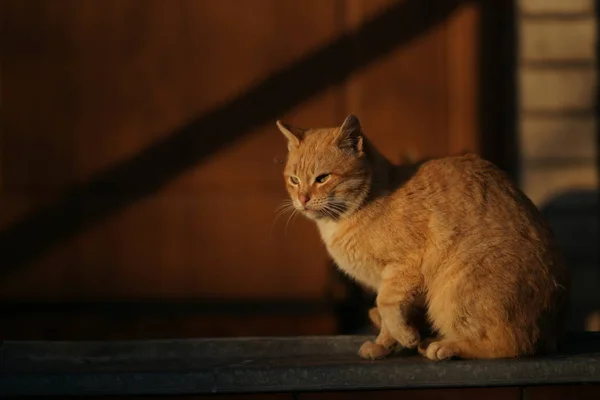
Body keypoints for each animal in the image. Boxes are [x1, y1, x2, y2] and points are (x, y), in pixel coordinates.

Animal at [276, 115, 568, 360]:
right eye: (294, 180)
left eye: (322, 178)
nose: (302, 199)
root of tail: (553, 329)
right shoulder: (389, 282)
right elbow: (386, 314)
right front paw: (385, 346)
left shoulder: (403, 270)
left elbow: (385, 305)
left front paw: (406, 337)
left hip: (455, 287)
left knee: (511, 344)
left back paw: (444, 346)